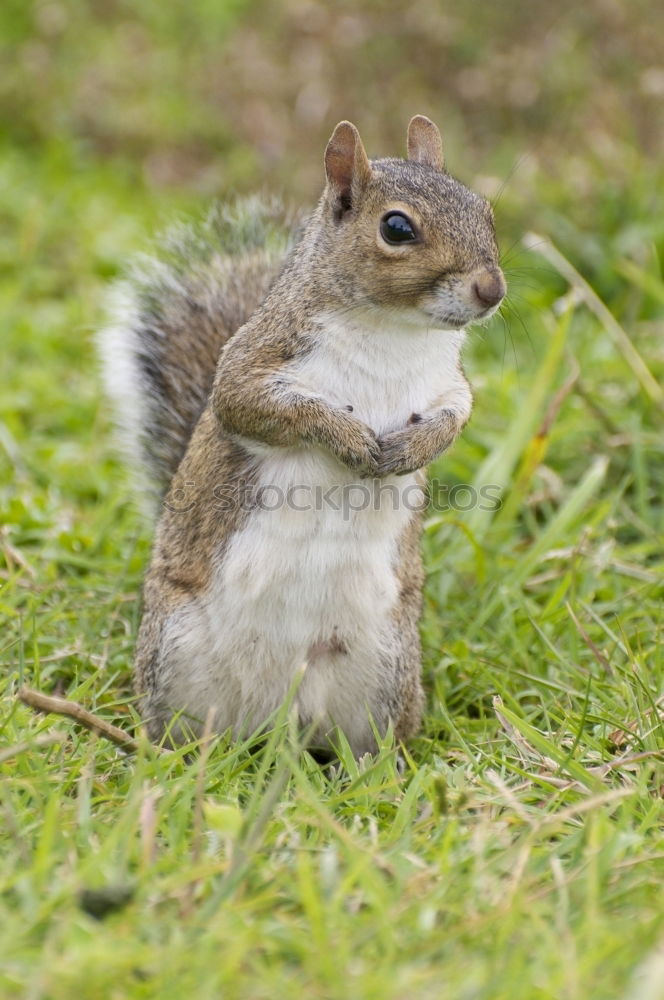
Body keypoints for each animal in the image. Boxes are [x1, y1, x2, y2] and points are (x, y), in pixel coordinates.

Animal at [98, 117, 506, 756]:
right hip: (174, 652)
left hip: (385, 669)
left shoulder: (450, 386)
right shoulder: (255, 363)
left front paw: (410, 449)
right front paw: (349, 438)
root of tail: (277, 720)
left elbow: (454, 421)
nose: (492, 290)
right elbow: (257, 406)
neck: (393, 332)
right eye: (397, 228)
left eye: (486, 212)